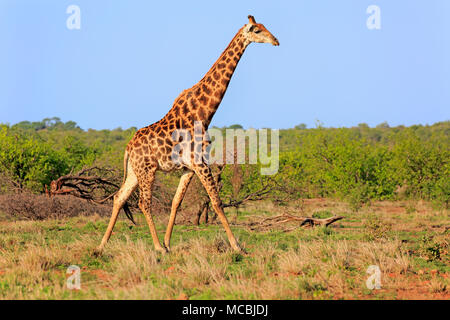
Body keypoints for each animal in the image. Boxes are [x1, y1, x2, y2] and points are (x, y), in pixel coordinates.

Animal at [98, 15, 278, 254]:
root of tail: (128, 148)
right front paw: (237, 246)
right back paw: (157, 247)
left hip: (135, 171)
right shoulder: (200, 163)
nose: (276, 40)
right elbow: (216, 201)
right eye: (257, 30)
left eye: (266, 27)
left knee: (119, 197)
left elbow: (176, 202)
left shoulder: (189, 168)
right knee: (143, 202)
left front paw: (168, 242)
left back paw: (102, 245)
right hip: (147, 169)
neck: (204, 112)